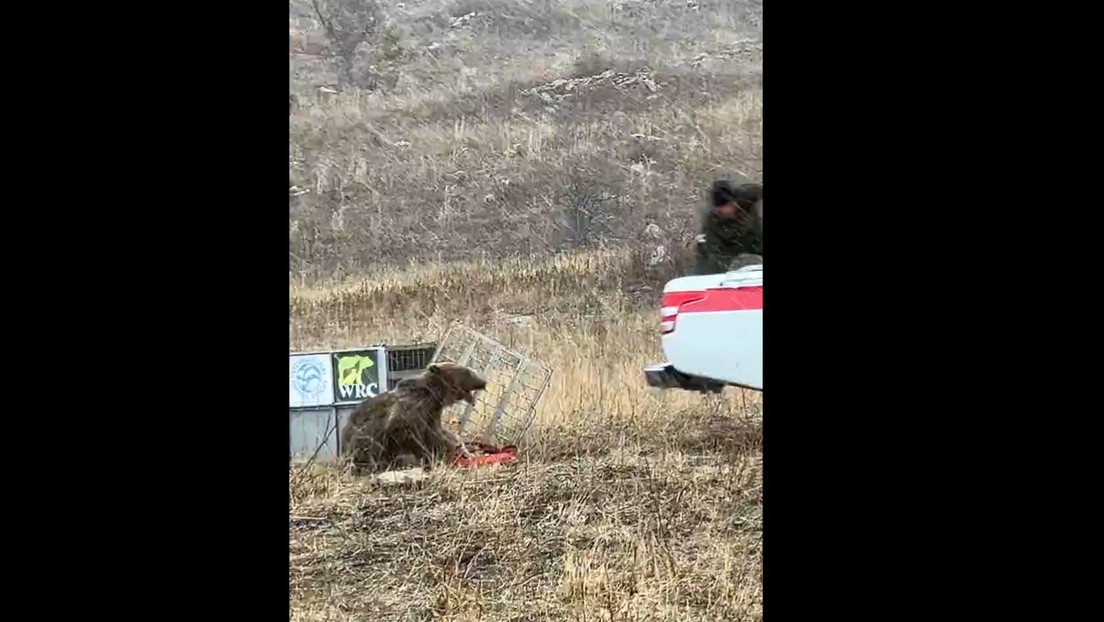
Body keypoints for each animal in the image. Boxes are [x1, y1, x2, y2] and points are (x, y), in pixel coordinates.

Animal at [340, 360, 487, 472]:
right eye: (467, 371)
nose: (483, 381)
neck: (435, 395)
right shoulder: (409, 412)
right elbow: (411, 437)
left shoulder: (432, 414)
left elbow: (438, 435)